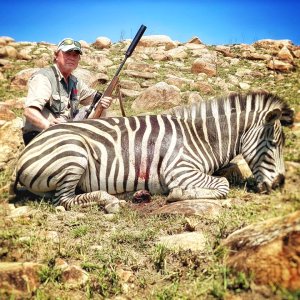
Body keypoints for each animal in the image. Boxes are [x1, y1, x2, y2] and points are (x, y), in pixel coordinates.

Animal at [13, 91, 292, 211]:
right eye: (274, 143)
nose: (280, 183)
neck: (200, 137)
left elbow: (225, 177)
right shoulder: (179, 169)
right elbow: (223, 185)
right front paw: (178, 194)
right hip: (74, 154)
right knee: (64, 200)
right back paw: (110, 200)